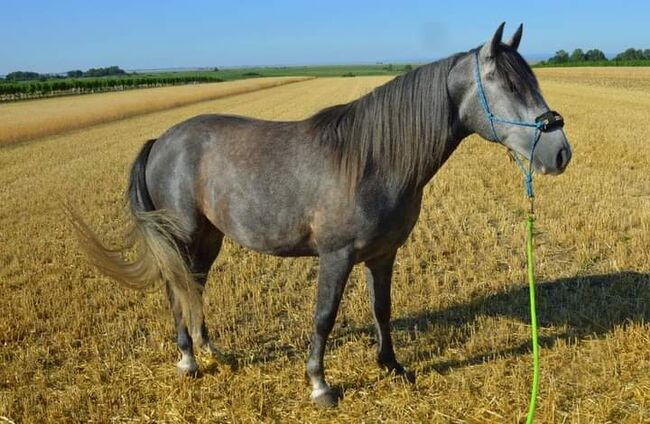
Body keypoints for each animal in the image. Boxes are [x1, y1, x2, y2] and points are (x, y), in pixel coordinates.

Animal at [68, 24, 568, 408]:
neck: (374, 159)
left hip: (209, 237)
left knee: (194, 286)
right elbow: (324, 316)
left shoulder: (383, 255)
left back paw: (211, 350)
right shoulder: (336, 255)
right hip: (182, 235)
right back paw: (188, 359)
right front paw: (319, 385)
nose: (560, 152)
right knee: (177, 290)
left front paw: (392, 365)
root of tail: (161, 141)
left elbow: (382, 309)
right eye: (509, 85)